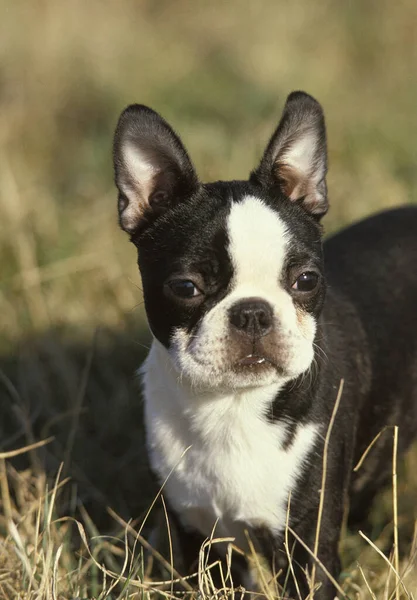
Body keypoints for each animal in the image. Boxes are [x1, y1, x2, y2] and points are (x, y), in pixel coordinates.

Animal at [112, 91, 416, 596]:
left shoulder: (309, 546)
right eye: (186, 287)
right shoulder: (189, 534)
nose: (253, 312)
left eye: (306, 280)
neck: (231, 407)